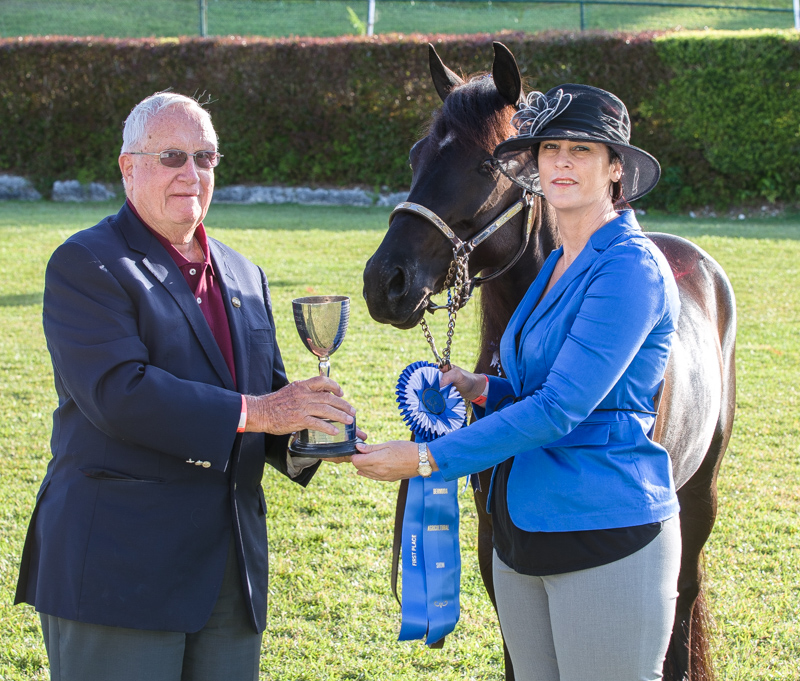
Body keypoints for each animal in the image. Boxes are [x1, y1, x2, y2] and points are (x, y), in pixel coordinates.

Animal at [362, 42, 736, 680]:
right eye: (416, 155)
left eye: (488, 166)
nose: (384, 282)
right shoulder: (494, 546)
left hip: (698, 494)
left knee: (684, 597)